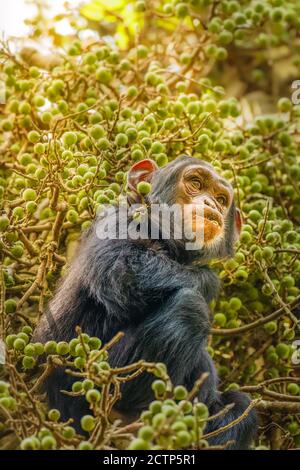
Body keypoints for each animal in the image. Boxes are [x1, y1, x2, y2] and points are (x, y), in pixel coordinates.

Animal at [34, 154, 256, 448]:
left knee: (242, 406)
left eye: (221, 198)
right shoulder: (117, 223)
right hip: (96, 378)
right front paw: (208, 278)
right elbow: (125, 268)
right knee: (188, 308)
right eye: (195, 183)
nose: (210, 204)